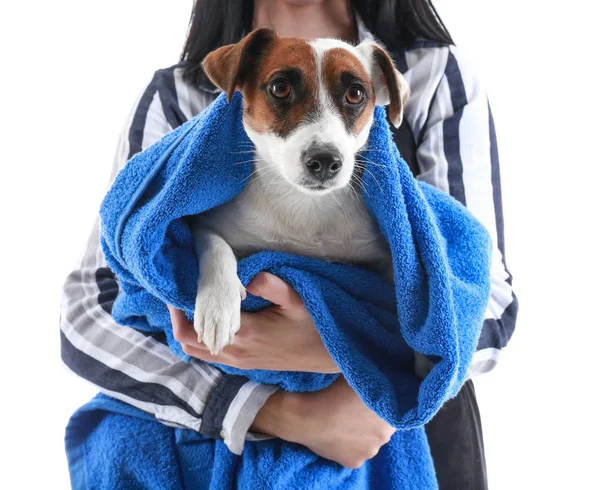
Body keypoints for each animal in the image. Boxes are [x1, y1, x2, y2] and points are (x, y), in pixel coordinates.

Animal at [192, 28, 408, 354]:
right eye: (280, 88)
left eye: (355, 94)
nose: (325, 161)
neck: (305, 204)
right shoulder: (205, 222)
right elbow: (215, 245)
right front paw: (218, 305)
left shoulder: (384, 257)